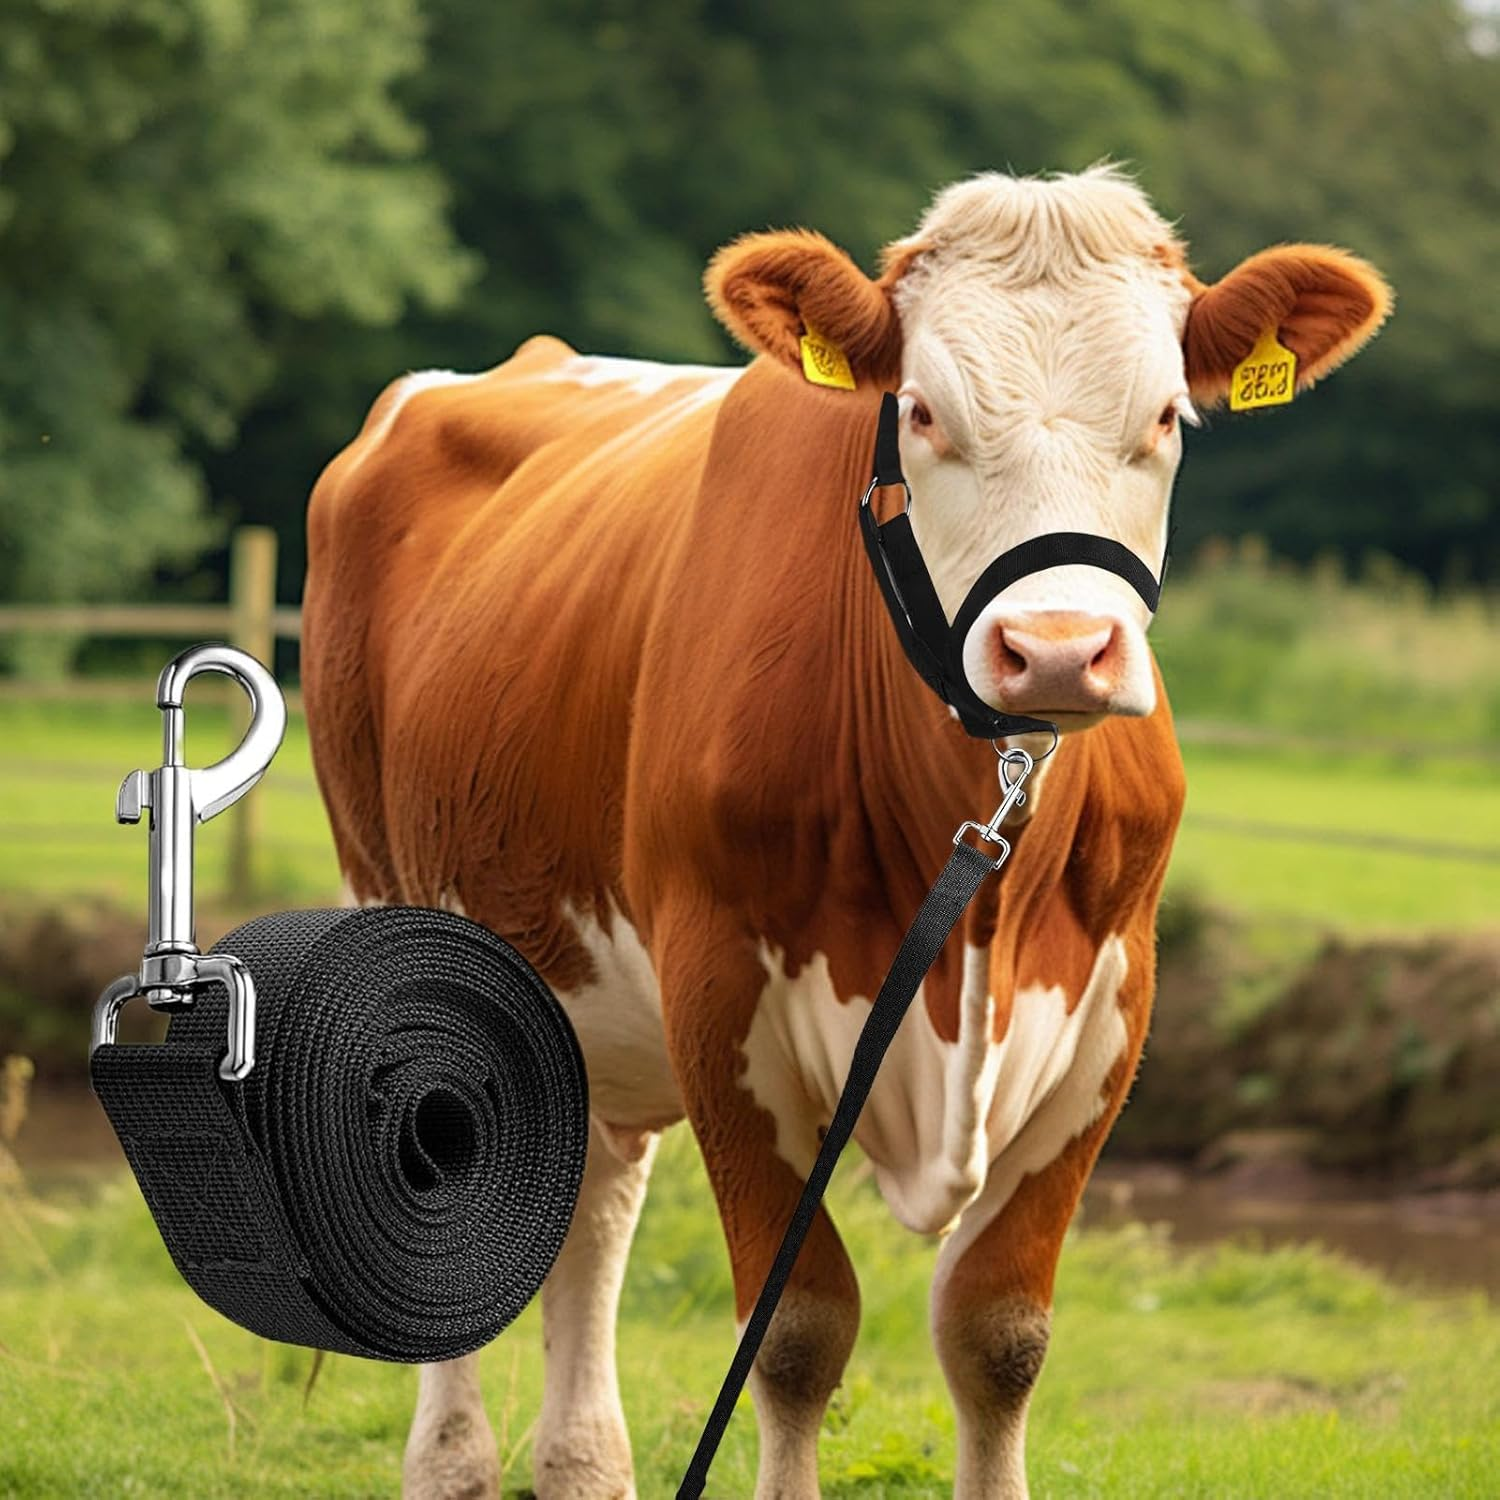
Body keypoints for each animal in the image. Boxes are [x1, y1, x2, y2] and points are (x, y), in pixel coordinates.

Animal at [301, 165, 1389, 1499]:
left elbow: (998, 1334)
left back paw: (583, 1463)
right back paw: (454, 1462)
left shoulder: (1110, 1011)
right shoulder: (717, 992)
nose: (1058, 650)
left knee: (597, 1194)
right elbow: (797, 1330)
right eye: (919, 411)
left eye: (1171, 417)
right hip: (395, 893)